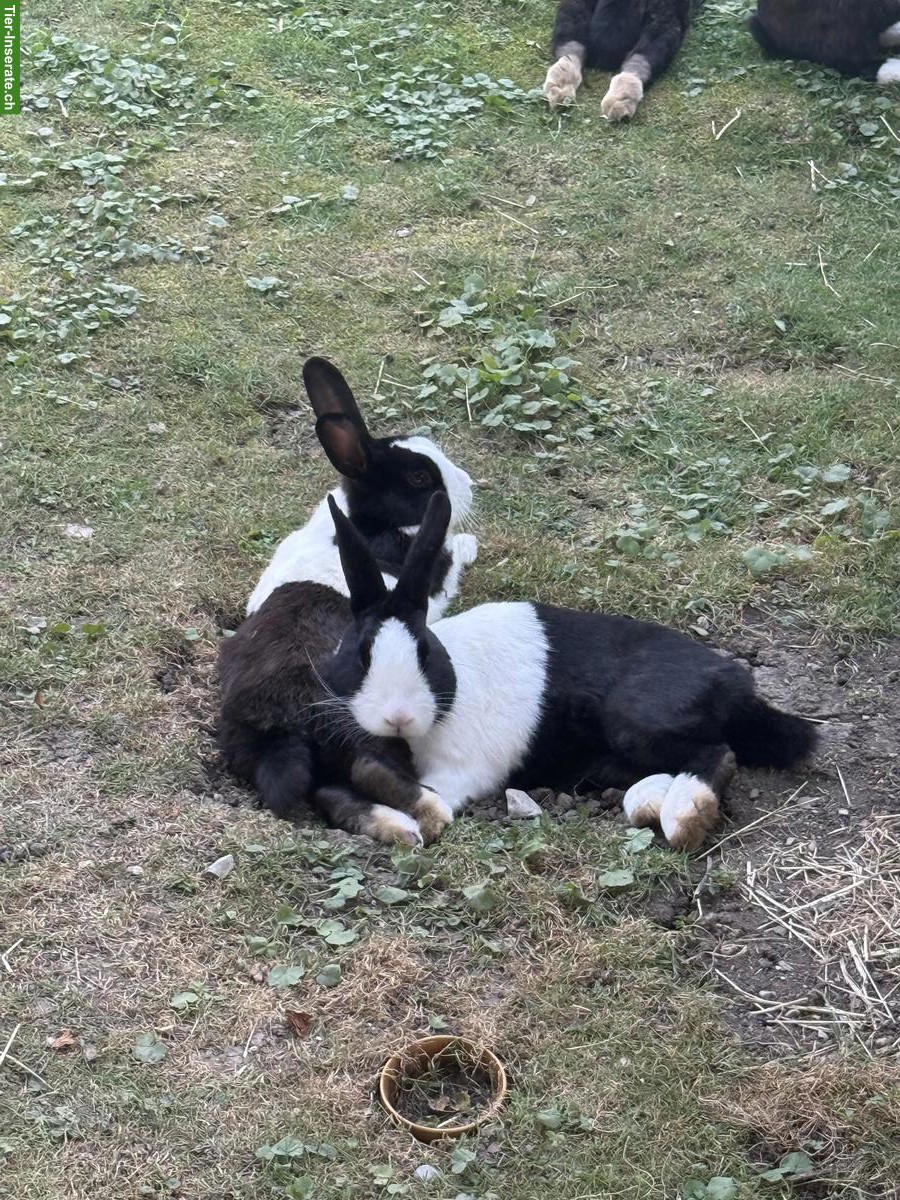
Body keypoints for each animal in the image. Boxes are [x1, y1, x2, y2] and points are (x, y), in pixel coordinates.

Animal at [218, 358, 478, 846]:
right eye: (419, 477)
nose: (469, 485)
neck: (369, 522)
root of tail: (278, 726)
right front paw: (470, 544)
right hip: (365, 725)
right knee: (368, 767)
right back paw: (428, 814)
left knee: (334, 794)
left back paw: (397, 827)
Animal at [324, 491, 818, 852]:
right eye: (360, 654)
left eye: (424, 652)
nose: (397, 716)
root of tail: (735, 682)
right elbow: (343, 789)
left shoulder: (460, 772)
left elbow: (392, 781)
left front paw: (425, 818)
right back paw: (651, 803)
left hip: (634, 722)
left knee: (717, 754)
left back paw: (685, 817)